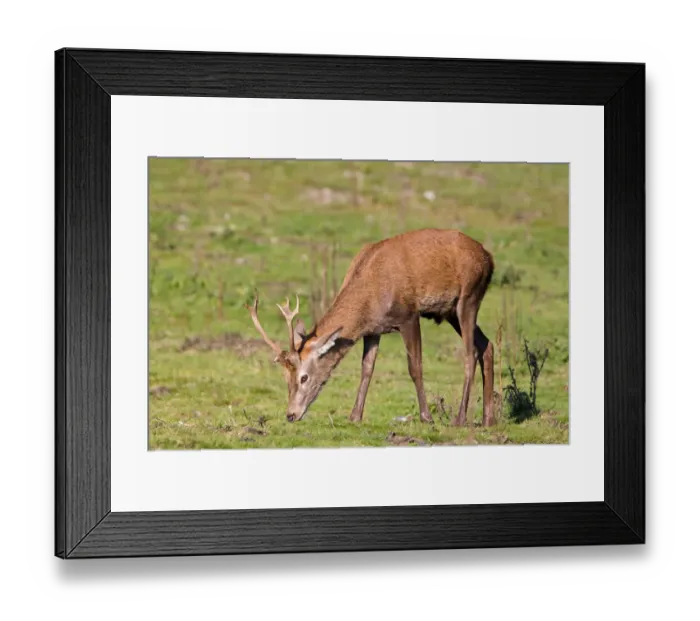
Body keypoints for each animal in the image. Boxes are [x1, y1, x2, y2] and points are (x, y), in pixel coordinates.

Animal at [245, 228, 496, 428]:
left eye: (304, 377)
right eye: (285, 377)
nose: (290, 415)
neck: (370, 296)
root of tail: (489, 258)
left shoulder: (409, 315)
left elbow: (415, 367)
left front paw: (426, 417)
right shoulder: (374, 330)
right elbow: (366, 368)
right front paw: (355, 416)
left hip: (469, 296)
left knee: (470, 352)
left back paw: (460, 419)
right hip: (451, 311)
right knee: (487, 344)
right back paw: (488, 419)